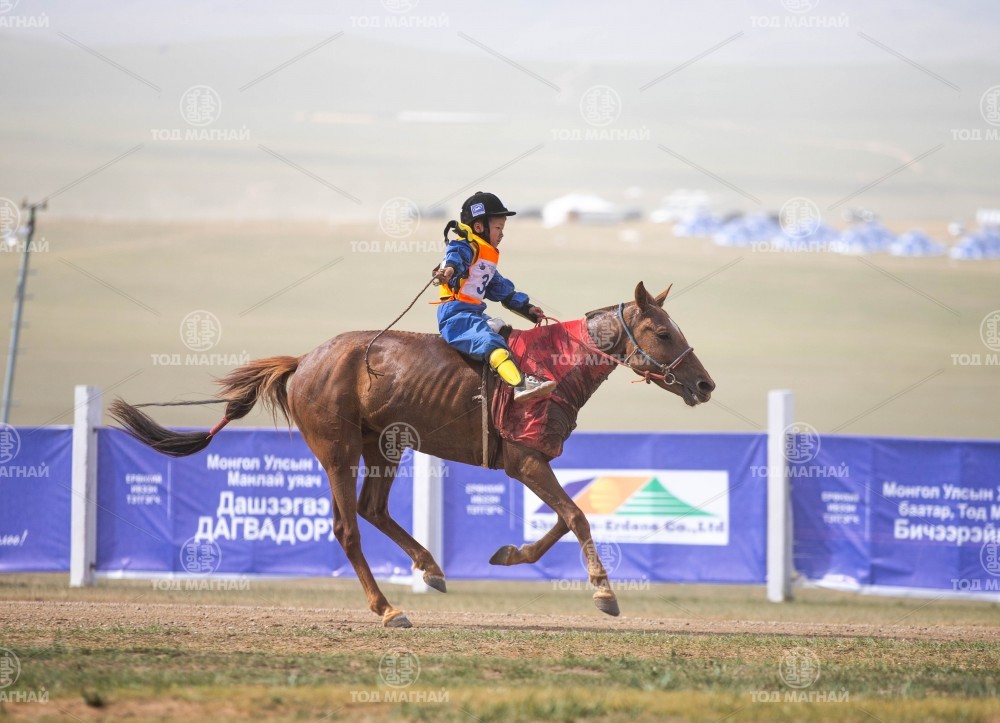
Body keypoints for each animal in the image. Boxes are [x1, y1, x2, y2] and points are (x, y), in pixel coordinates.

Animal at [109, 281, 715, 628]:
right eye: (662, 331)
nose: (705, 384)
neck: (555, 365)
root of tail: (304, 362)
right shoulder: (524, 461)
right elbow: (577, 516)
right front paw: (604, 593)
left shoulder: (530, 463)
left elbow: (564, 520)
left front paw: (508, 554)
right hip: (337, 450)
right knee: (348, 526)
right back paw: (387, 608)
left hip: (384, 445)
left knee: (374, 510)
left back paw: (430, 568)